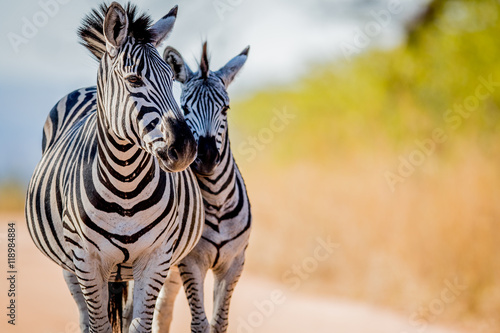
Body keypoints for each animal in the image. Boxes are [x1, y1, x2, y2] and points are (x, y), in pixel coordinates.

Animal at [23, 1, 205, 330]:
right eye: (133, 80)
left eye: (171, 79)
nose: (185, 149)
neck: (126, 185)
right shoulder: (86, 260)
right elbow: (99, 325)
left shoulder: (157, 257)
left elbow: (140, 324)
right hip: (69, 265)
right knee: (85, 318)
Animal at [152, 42, 252, 332]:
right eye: (185, 108)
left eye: (226, 109)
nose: (206, 158)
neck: (217, 201)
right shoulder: (191, 263)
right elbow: (200, 324)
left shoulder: (234, 264)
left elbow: (220, 323)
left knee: (161, 311)